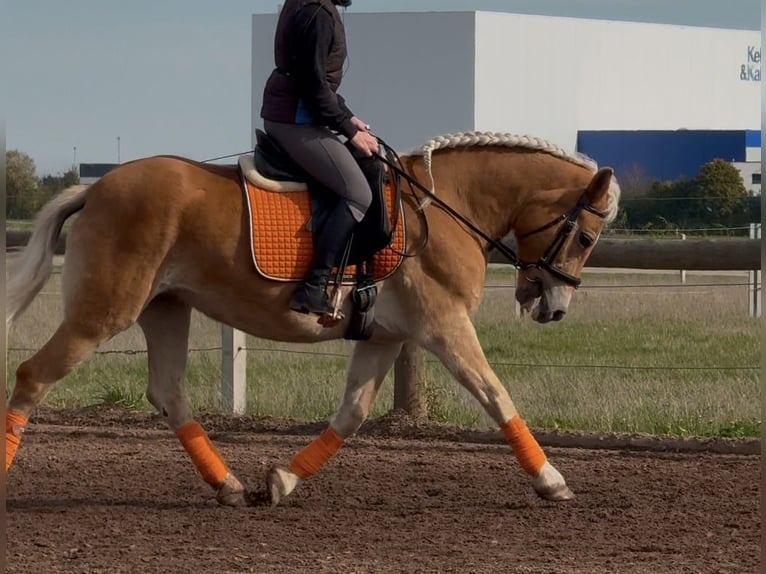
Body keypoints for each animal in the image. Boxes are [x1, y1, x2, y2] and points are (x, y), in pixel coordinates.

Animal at [6, 132, 624, 508]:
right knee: (33, 377)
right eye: (587, 237)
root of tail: (96, 188)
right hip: (103, 313)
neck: (447, 207)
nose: (553, 308)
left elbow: (351, 414)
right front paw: (552, 481)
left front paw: (282, 480)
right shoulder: (442, 325)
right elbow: (496, 395)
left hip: (165, 308)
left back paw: (229, 485)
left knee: (168, 393)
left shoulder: (385, 336)